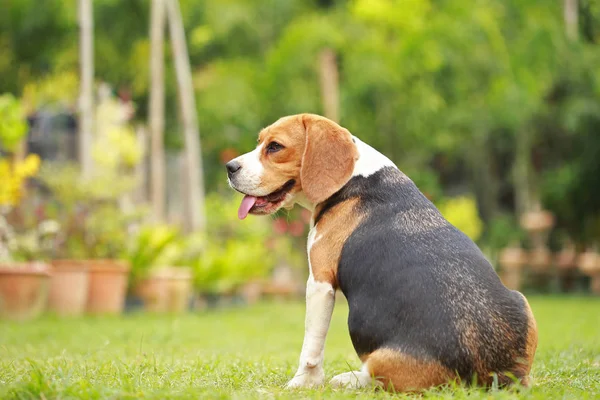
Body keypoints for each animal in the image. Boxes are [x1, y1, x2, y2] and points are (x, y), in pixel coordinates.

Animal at [226, 112, 540, 390]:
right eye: (260, 142)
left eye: (275, 147)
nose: (229, 167)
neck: (353, 178)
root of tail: (491, 373)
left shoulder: (319, 282)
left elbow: (311, 347)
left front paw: (302, 383)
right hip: (522, 301)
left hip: (380, 356)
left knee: (374, 377)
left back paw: (348, 379)